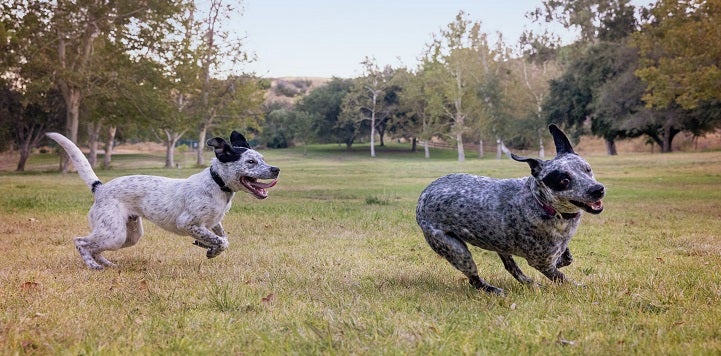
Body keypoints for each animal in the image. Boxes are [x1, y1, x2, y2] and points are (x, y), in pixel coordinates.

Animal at [45, 131, 278, 270]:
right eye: (250, 162)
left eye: (263, 159)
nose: (276, 169)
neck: (217, 183)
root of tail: (99, 187)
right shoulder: (187, 223)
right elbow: (220, 240)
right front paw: (210, 248)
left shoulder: (214, 222)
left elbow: (223, 240)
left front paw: (209, 248)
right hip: (114, 233)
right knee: (80, 242)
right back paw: (92, 266)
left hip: (127, 236)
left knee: (95, 248)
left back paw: (107, 264)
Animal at [414, 125, 604, 294]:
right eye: (564, 180)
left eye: (587, 169)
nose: (598, 189)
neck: (539, 202)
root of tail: (422, 196)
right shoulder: (541, 262)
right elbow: (561, 277)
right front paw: (579, 287)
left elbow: (567, 257)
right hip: (457, 251)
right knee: (474, 280)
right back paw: (492, 290)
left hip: (498, 244)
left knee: (510, 267)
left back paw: (530, 283)